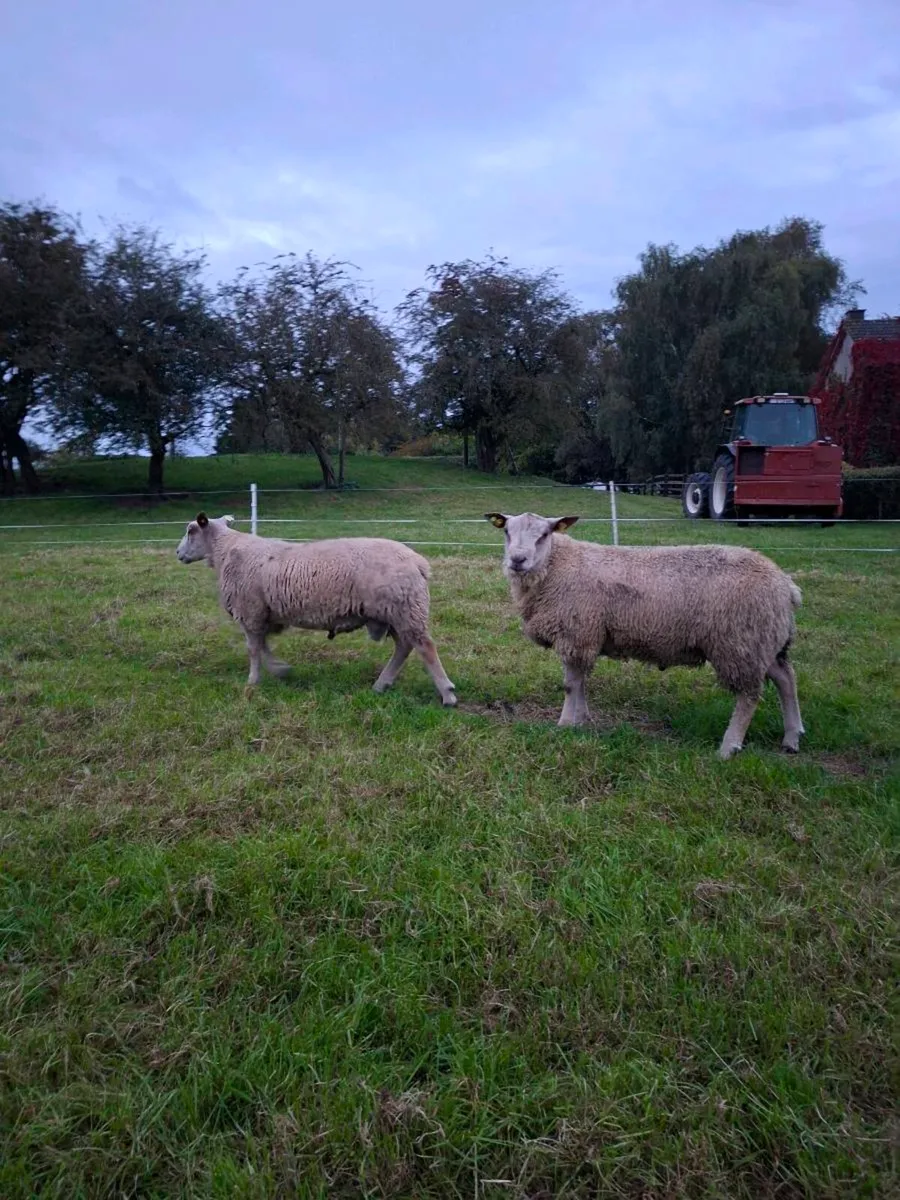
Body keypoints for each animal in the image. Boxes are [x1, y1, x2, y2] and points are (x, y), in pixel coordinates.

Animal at [176, 513, 457, 705]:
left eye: (190, 530)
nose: (178, 553)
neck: (224, 551)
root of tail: (419, 562)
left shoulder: (251, 611)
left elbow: (254, 649)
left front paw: (253, 682)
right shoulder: (264, 613)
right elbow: (263, 646)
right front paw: (280, 670)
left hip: (404, 608)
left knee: (425, 647)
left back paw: (447, 694)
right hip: (394, 612)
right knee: (404, 647)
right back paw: (381, 684)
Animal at [484, 511, 804, 759]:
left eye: (544, 534)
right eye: (507, 532)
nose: (517, 560)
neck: (556, 566)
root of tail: (786, 585)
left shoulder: (576, 632)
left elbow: (570, 685)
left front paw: (564, 724)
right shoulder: (587, 636)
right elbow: (581, 681)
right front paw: (582, 719)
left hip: (740, 643)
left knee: (750, 696)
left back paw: (729, 747)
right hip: (765, 641)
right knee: (786, 678)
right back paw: (792, 738)